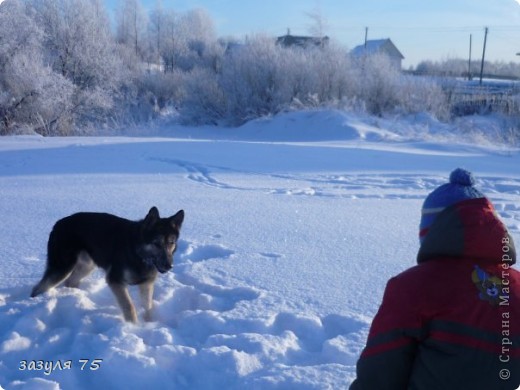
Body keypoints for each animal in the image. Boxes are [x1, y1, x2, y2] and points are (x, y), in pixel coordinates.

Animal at [30, 207, 184, 322]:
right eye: (156, 243)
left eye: (171, 243)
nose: (169, 266)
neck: (138, 252)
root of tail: (58, 224)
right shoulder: (115, 280)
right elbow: (129, 306)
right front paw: (134, 327)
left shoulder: (146, 284)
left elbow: (148, 308)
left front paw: (149, 325)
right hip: (62, 267)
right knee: (39, 288)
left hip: (86, 266)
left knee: (70, 281)